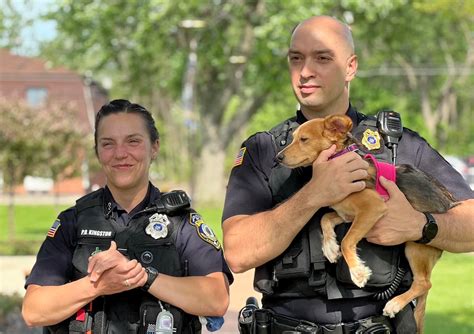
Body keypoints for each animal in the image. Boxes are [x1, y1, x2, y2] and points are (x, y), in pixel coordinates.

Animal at [276, 114, 458, 332]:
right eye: (293, 138)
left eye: (304, 139)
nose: (277, 157)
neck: (337, 160)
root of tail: (447, 205)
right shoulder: (346, 213)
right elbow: (325, 218)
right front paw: (330, 248)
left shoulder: (372, 207)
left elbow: (347, 241)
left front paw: (358, 272)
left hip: (415, 246)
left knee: (424, 283)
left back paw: (394, 303)